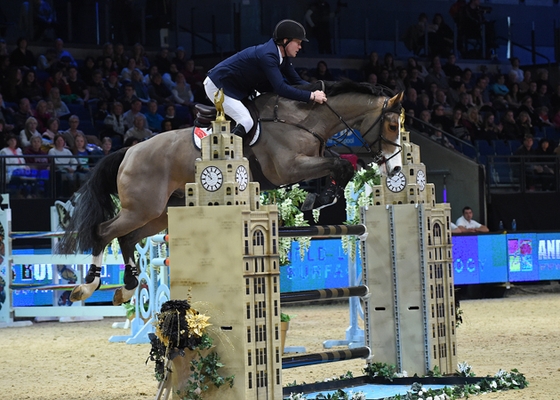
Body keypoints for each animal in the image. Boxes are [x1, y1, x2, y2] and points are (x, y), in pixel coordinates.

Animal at [58, 80, 402, 306]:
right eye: (390, 127)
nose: (396, 169)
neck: (304, 121)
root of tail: (129, 151)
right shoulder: (289, 168)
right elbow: (339, 165)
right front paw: (317, 199)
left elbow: (341, 166)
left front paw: (322, 197)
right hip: (142, 208)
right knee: (103, 231)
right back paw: (87, 286)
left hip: (159, 213)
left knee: (128, 238)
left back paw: (127, 287)